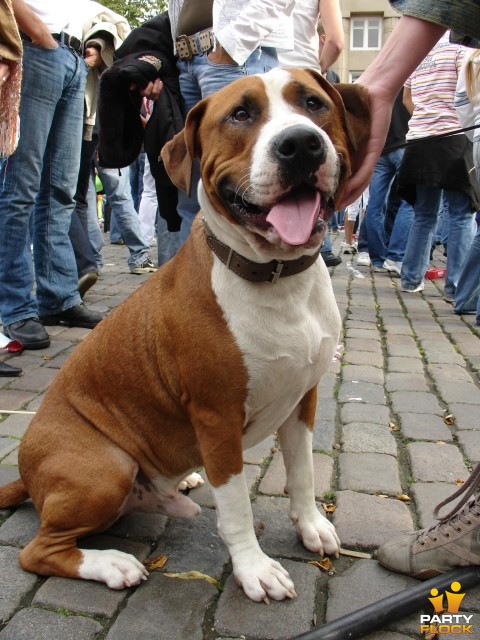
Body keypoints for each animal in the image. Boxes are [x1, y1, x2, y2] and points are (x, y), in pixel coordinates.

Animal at [0, 67, 370, 604]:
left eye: (314, 103)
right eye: (241, 113)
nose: (300, 144)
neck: (276, 275)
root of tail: (27, 477)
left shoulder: (303, 399)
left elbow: (301, 473)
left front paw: (311, 526)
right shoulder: (217, 419)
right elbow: (237, 505)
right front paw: (254, 568)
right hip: (106, 466)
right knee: (38, 551)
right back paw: (112, 564)